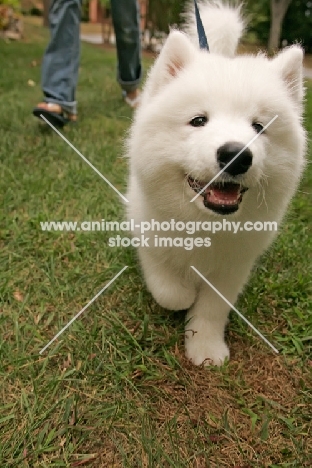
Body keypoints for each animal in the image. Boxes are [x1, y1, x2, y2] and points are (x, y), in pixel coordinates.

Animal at [125, 0, 306, 366]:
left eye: (259, 127)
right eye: (198, 121)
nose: (237, 155)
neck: (206, 224)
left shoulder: (233, 267)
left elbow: (211, 310)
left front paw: (205, 349)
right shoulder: (146, 230)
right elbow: (167, 288)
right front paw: (182, 294)